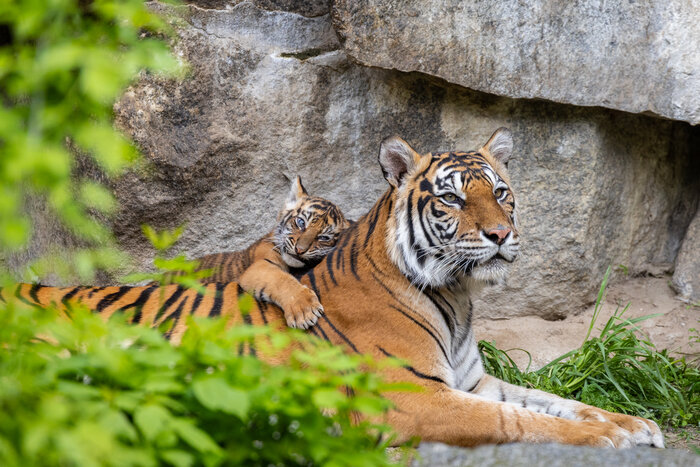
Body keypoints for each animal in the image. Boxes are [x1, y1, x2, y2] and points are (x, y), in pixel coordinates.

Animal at [174, 175, 350, 329]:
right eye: (301, 222)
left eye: (324, 237)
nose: (300, 250)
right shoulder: (260, 266)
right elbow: (281, 279)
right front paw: (304, 309)